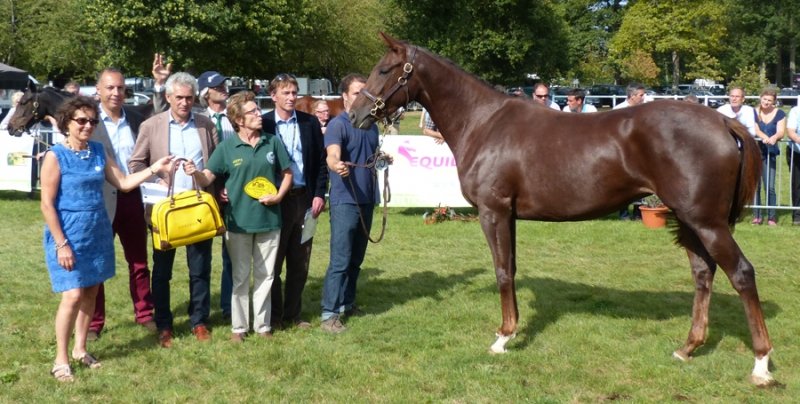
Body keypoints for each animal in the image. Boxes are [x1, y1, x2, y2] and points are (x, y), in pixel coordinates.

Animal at [349, 33, 776, 386]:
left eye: (384, 70)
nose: (355, 116)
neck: (483, 123)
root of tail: (722, 121)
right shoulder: (509, 216)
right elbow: (511, 269)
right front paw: (511, 331)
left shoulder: (493, 212)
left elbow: (501, 271)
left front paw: (502, 338)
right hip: (691, 220)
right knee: (703, 273)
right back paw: (688, 348)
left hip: (707, 222)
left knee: (741, 274)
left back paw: (761, 365)